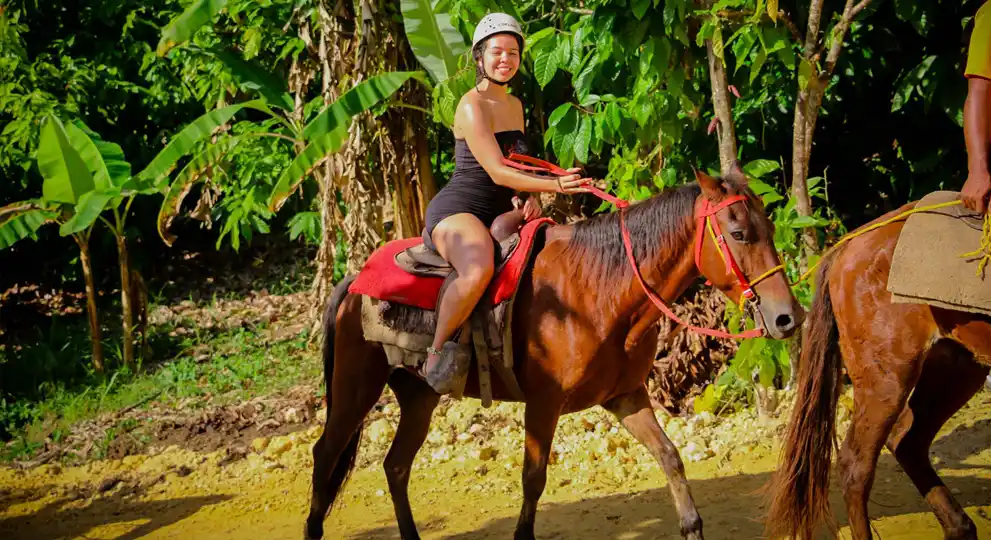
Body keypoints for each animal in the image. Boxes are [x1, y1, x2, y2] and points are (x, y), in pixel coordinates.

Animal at [304, 170, 808, 540]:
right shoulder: (543, 404)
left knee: (395, 466)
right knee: (325, 454)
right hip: (354, 389)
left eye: (769, 228)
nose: (788, 317)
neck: (601, 287)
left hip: (419, 396)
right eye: (739, 232)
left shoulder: (626, 396)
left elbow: (670, 457)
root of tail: (353, 281)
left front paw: (691, 524)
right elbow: (533, 480)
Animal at [768, 200, 991, 536]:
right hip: (887, 379)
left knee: (908, 442)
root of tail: (846, 247)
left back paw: (960, 528)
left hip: (957, 367)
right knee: (855, 466)